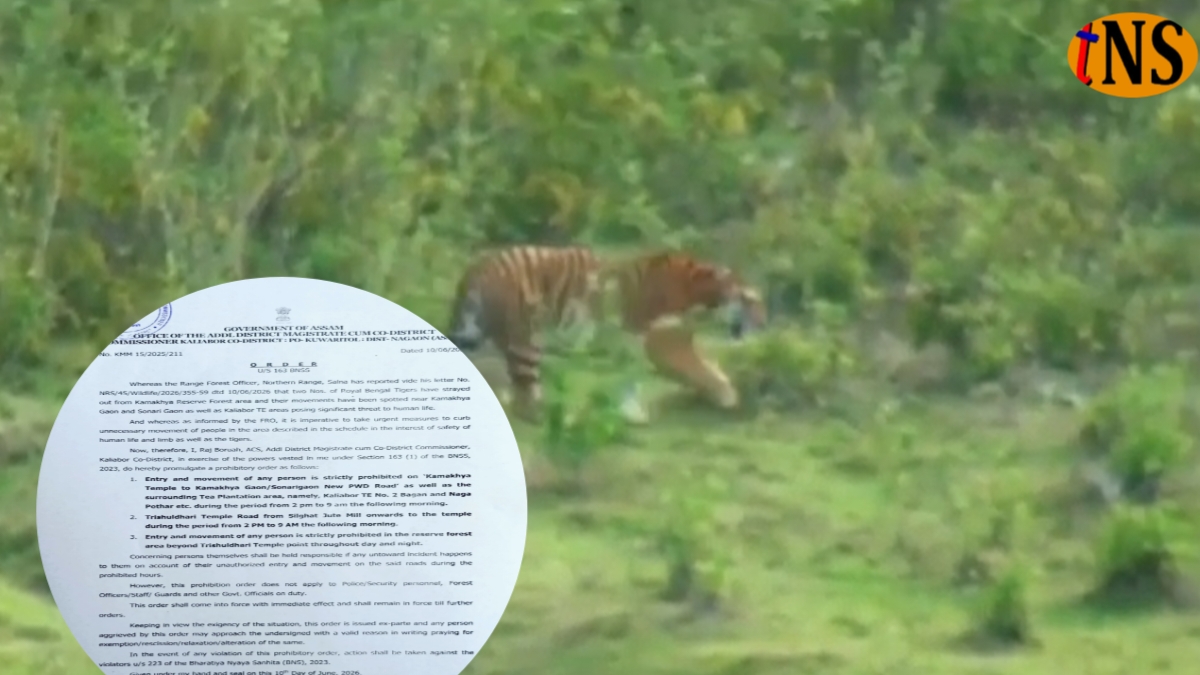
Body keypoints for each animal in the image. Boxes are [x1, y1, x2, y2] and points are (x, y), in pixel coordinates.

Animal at [445, 245, 766, 422]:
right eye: (751, 302)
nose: (763, 324)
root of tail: (478, 265)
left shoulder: (675, 341)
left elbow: (705, 369)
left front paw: (726, 395)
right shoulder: (649, 338)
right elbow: (634, 376)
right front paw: (634, 413)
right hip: (526, 338)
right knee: (525, 394)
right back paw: (555, 415)